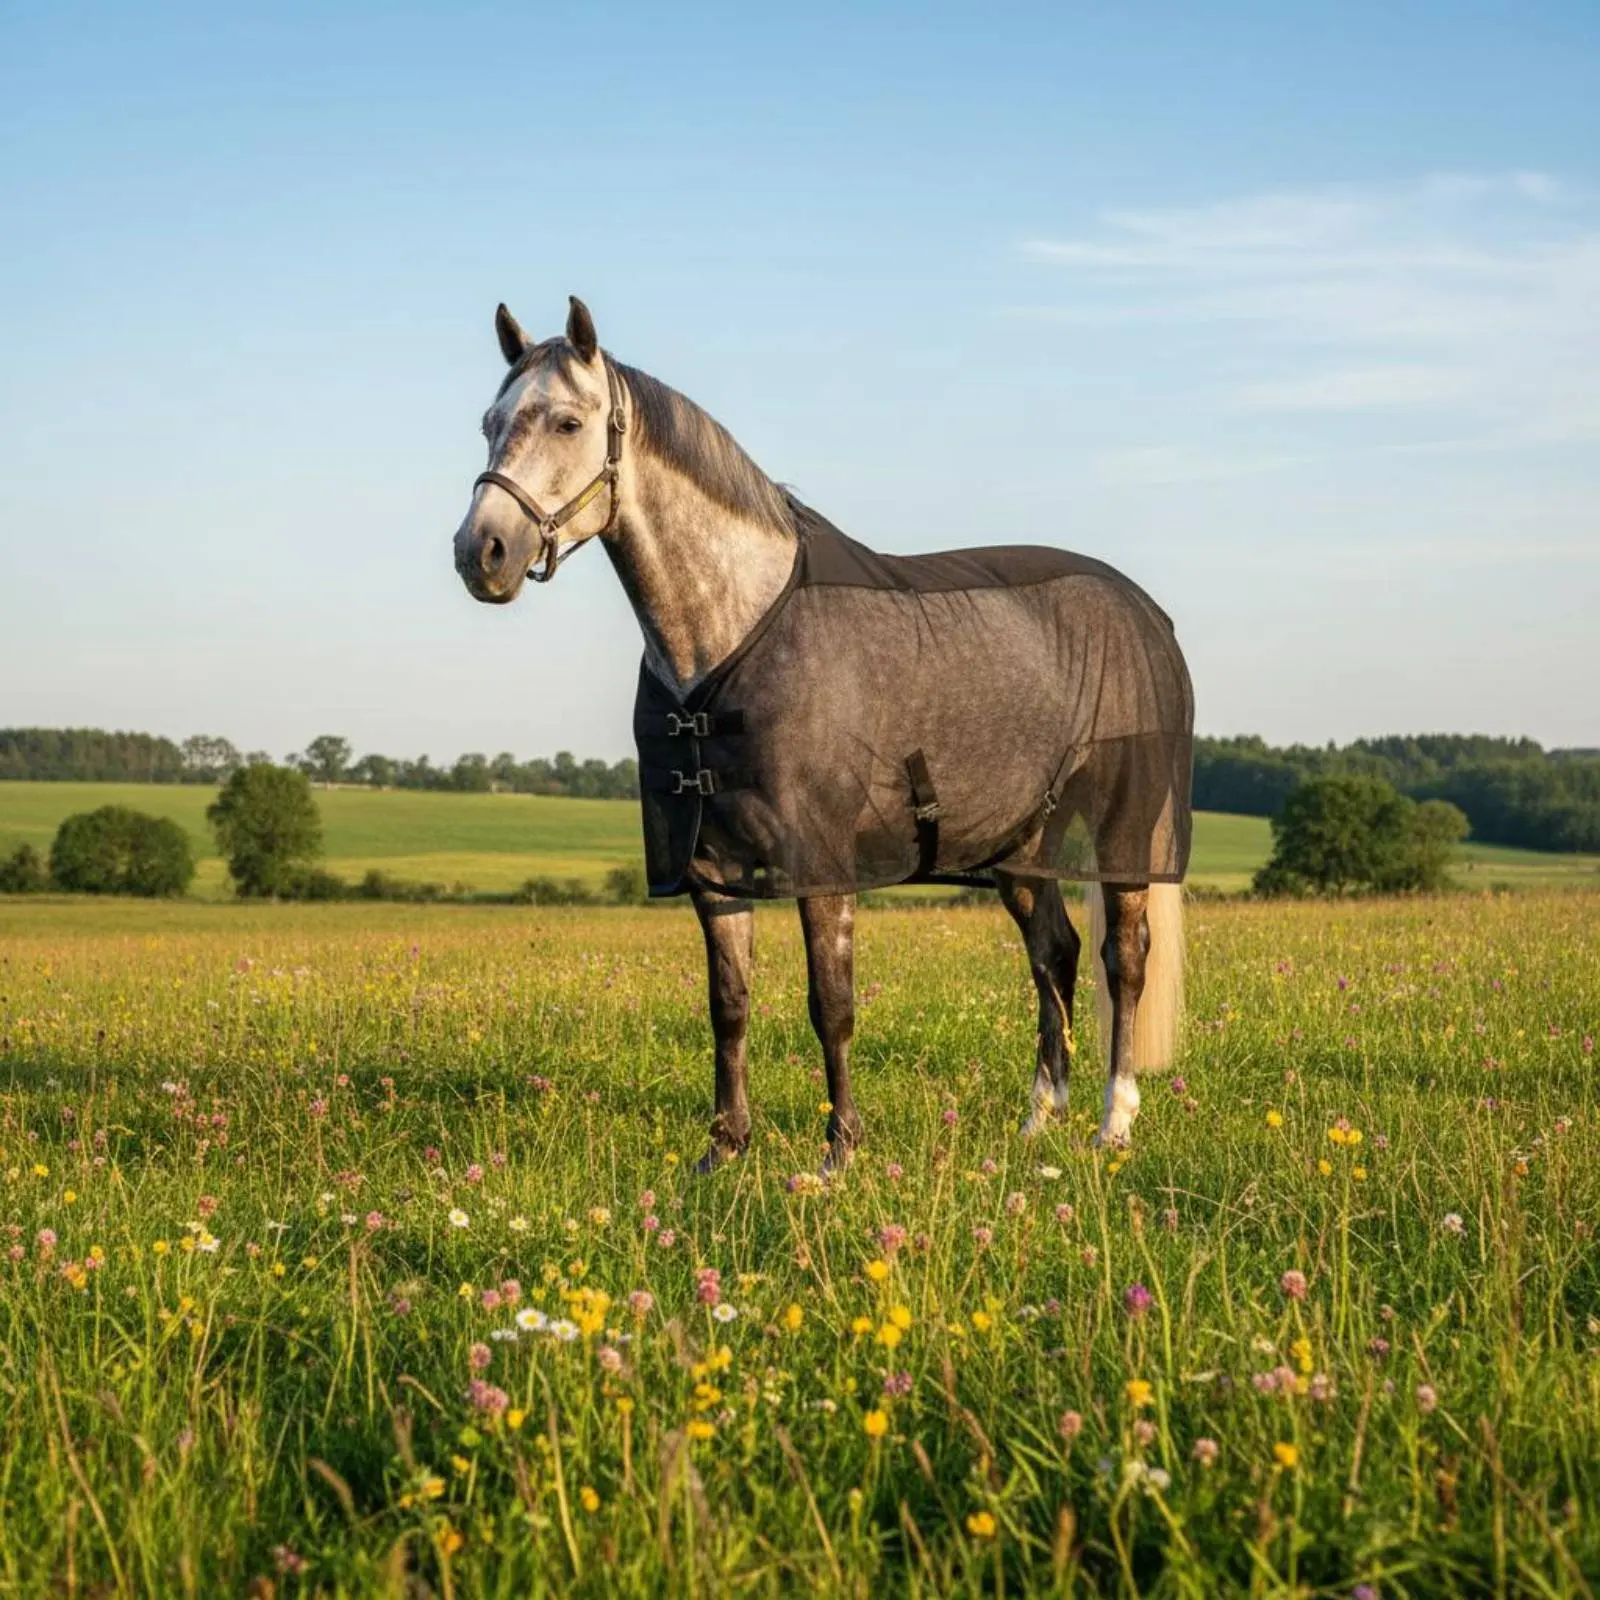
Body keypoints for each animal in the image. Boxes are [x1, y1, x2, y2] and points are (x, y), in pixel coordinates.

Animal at [453, 297, 1193, 1172]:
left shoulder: (821, 863)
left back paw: (1115, 1123)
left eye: (568, 422)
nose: (481, 552)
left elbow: (830, 1002)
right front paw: (725, 1149)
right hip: (1021, 844)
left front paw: (841, 1151)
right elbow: (729, 1005)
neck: (732, 632)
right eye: (490, 422)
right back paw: (1036, 1122)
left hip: (1127, 829)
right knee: (1055, 954)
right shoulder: (710, 869)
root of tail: (1145, 612)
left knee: (1124, 959)